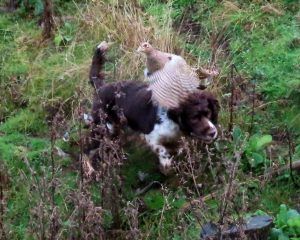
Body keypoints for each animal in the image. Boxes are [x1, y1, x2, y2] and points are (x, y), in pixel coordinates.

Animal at [86, 42, 218, 173]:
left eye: (208, 113)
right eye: (193, 118)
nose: (213, 132)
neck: (172, 120)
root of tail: (100, 88)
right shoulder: (151, 136)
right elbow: (162, 151)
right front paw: (166, 165)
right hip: (103, 128)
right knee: (87, 149)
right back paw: (89, 169)